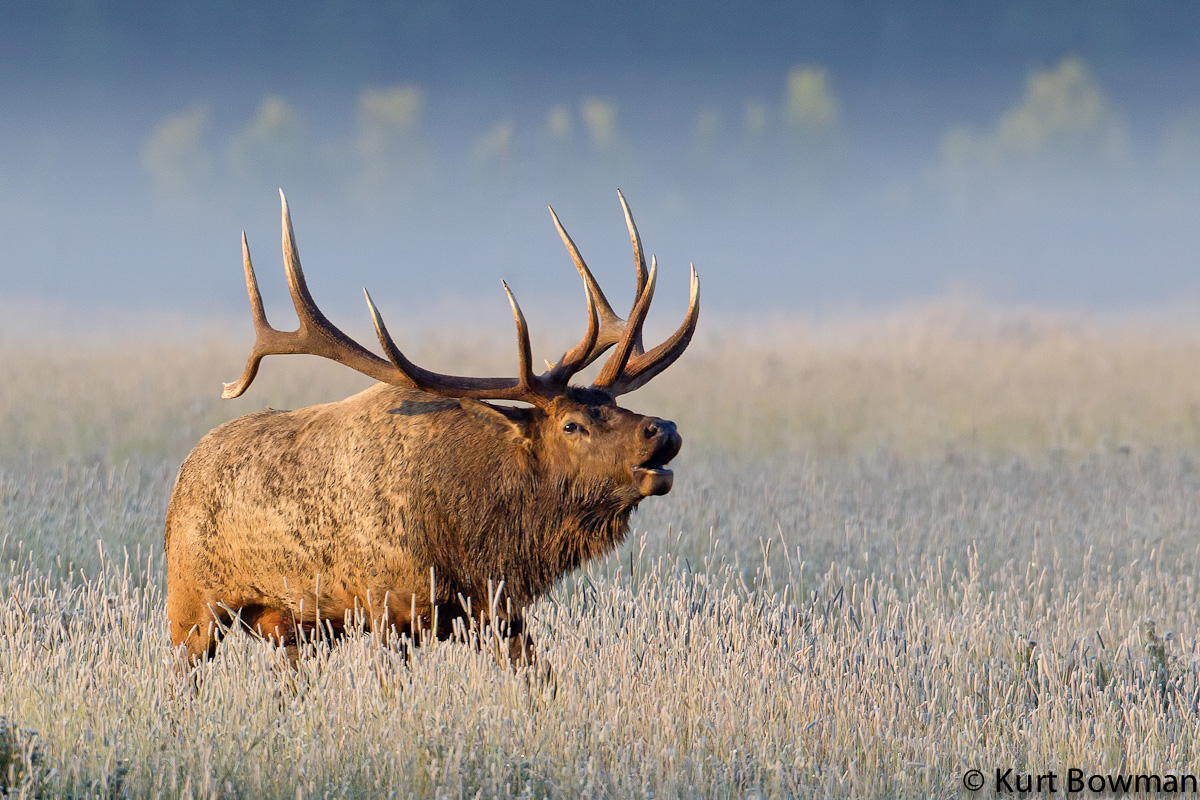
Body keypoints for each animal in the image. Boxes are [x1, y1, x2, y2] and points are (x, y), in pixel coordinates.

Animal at [165, 190, 698, 671]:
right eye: (572, 424)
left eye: (615, 404)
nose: (663, 429)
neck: (472, 534)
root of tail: (182, 474)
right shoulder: (385, 604)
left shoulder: (497, 609)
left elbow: (536, 676)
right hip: (189, 605)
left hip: (290, 626)